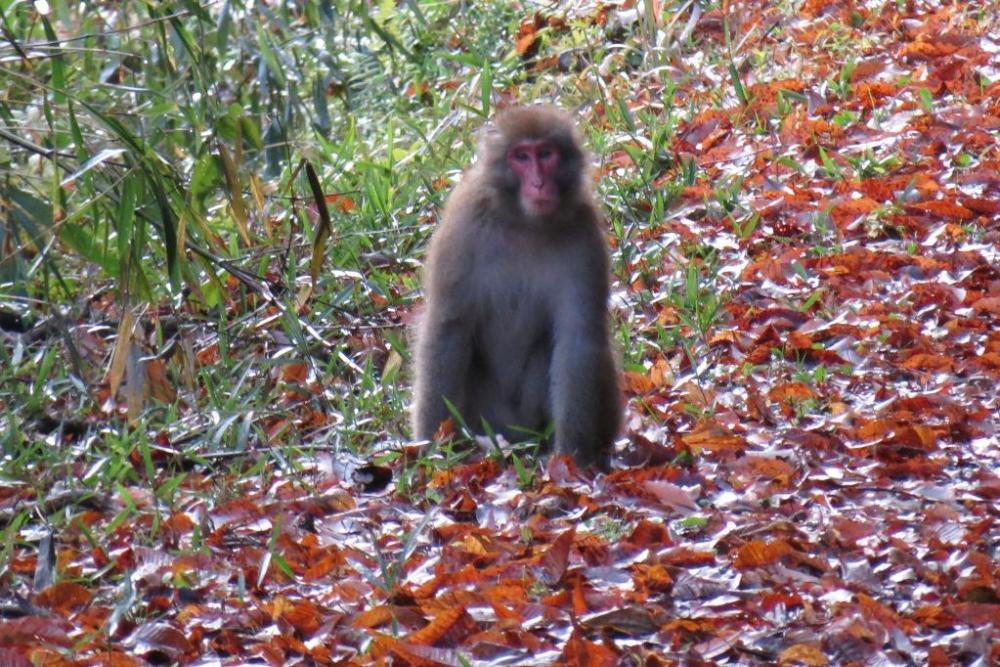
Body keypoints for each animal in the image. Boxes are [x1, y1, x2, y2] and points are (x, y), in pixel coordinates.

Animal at [410, 105, 620, 470]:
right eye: (521, 156)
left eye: (546, 154)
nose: (538, 183)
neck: (523, 222)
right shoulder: (463, 225)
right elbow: (449, 327)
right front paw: (432, 448)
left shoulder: (584, 232)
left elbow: (577, 338)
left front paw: (572, 459)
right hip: (489, 419)